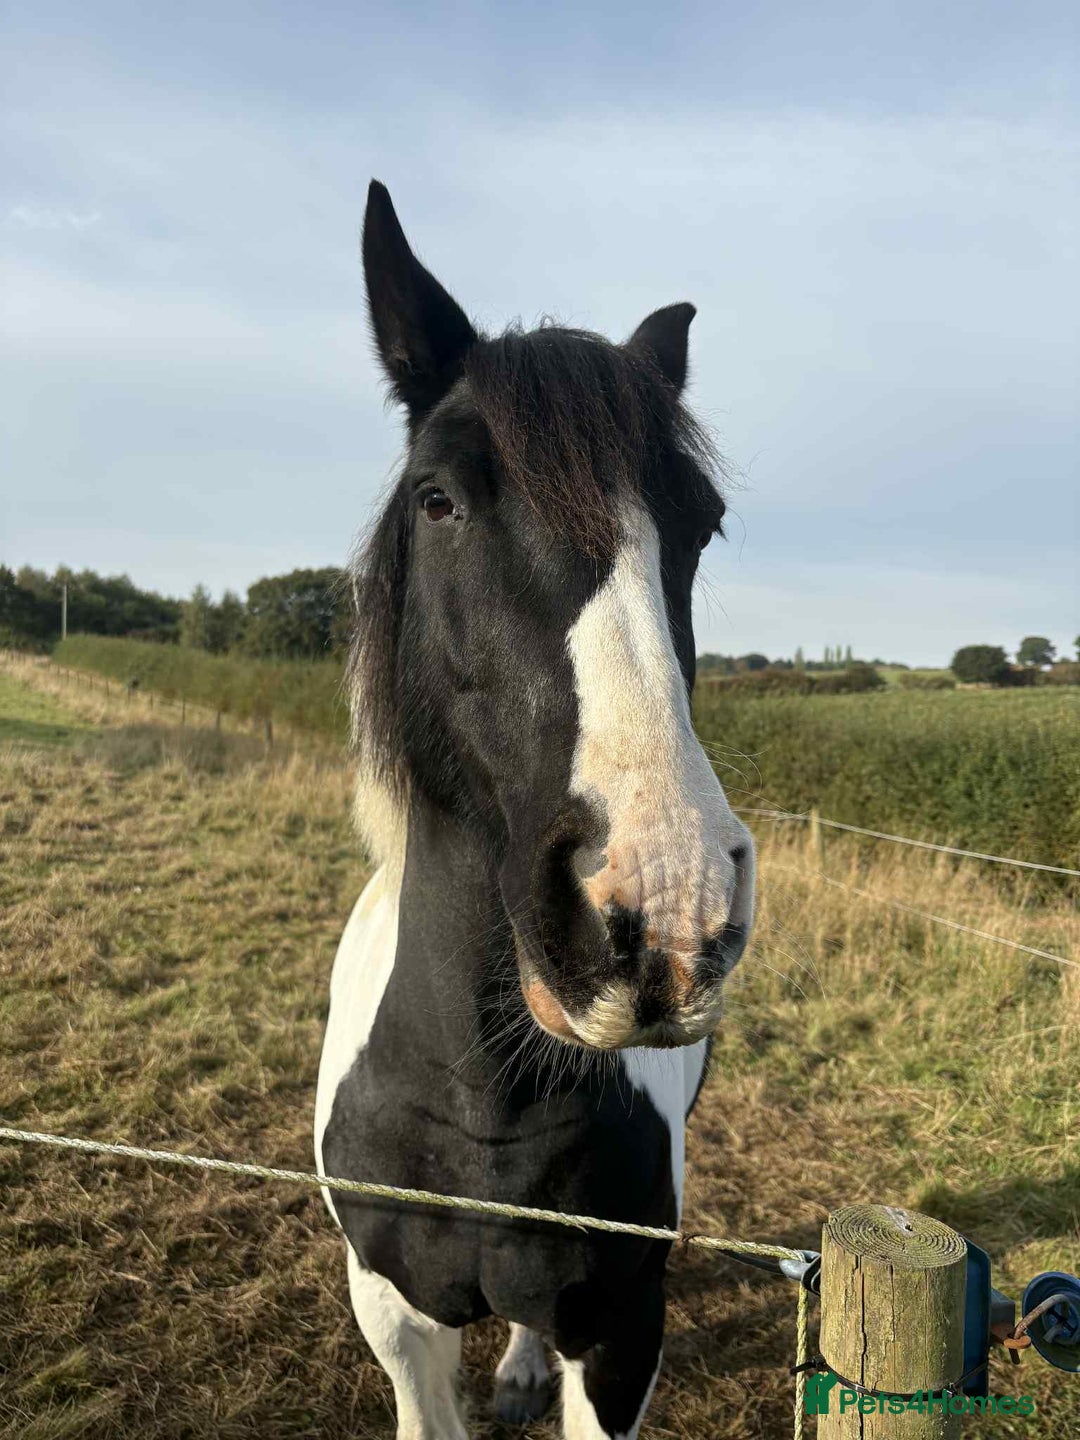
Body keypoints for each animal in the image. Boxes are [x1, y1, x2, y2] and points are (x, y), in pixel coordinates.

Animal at [314, 180, 756, 1440]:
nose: (663, 914)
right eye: (439, 498)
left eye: (701, 523)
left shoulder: (620, 1334)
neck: (478, 1100)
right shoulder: (394, 1316)